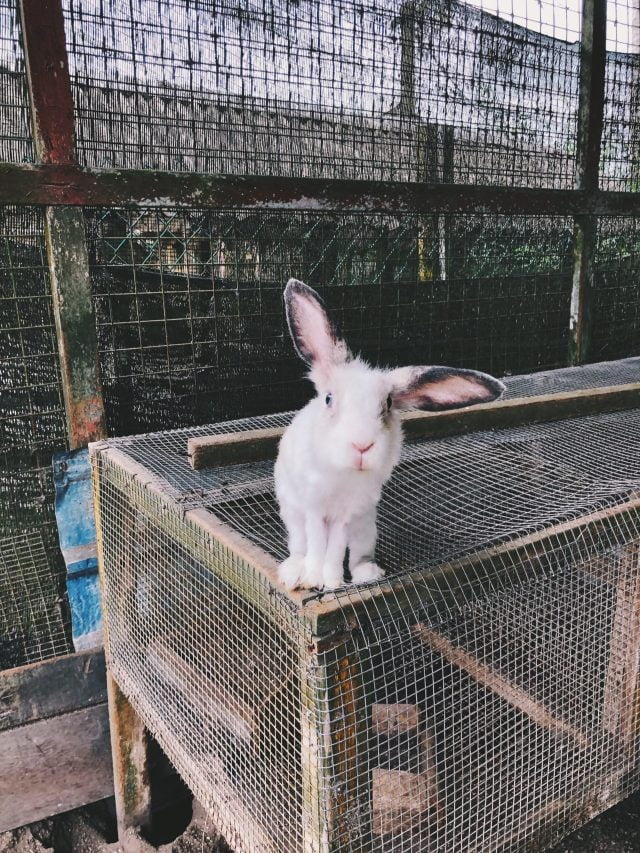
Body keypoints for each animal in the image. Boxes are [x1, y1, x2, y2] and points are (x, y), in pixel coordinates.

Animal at [274, 278, 505, 591]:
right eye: (329, 399)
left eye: (387, 405)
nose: (362, 446)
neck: (342, 476)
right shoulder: (314, 508)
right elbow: (318, 546)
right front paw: (314, 579)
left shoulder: (347, 515)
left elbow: (335, 549)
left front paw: (333, 582)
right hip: (293, 516)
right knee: (300, 546)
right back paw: (294, 573)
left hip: (366, 527)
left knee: (358, 554)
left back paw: (366, 574)